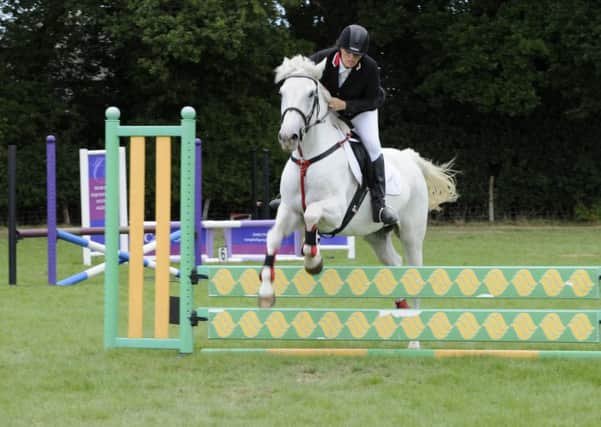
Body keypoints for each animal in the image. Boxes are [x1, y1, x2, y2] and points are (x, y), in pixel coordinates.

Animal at [256, 56, 454, 308]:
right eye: (282, 93)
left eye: (311, 94)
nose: (287, 137)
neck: (308, 160)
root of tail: (410, 157)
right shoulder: (289, 211)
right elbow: (272, 238)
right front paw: (266, 293)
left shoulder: (336, 211)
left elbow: (311, 214)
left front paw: (313, 263)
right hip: (375, 234)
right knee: (395, 263)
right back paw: (401, 307)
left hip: (412, 232)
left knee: (413, 271)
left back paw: (414, 313)